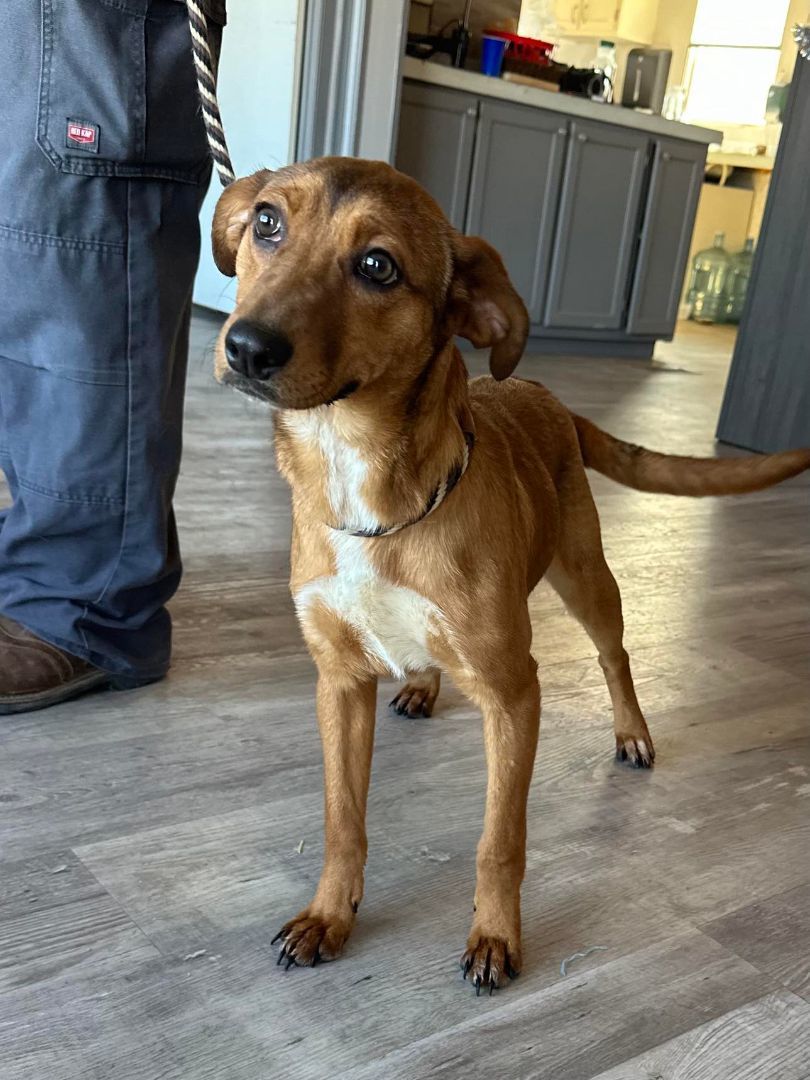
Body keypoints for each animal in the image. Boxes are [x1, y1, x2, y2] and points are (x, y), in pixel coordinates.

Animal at [210, 156, 810, 989]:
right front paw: (330, 914)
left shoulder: (514, 695)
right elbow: (342, 821)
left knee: (615, 655)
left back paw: (632, 731)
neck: (370, 490)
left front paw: (495, 935)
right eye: (266, 222)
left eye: (377, 266)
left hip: (587, 577)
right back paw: (424, 686)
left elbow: (500, 841)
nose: (247, 347)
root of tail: (535, 388)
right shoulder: (339, 682)